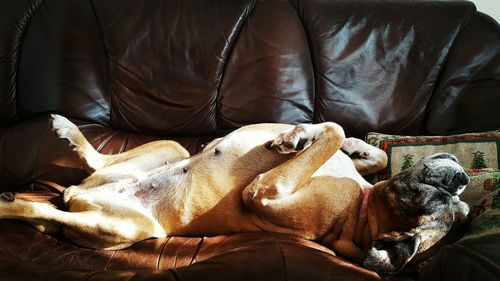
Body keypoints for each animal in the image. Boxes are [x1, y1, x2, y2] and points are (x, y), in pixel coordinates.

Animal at [0, 113, 468, 272]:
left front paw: (300, 138)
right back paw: (68, 132)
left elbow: (333, 132)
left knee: (49, 212)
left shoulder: (264, 192)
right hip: (168, 150)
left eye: (435, 206)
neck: (361, 208)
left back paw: (10, 204)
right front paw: (303, 135)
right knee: (94, 165)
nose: (461, 179)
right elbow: (352, 144)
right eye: (446, 202)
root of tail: (80, 195)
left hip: (122, 225)